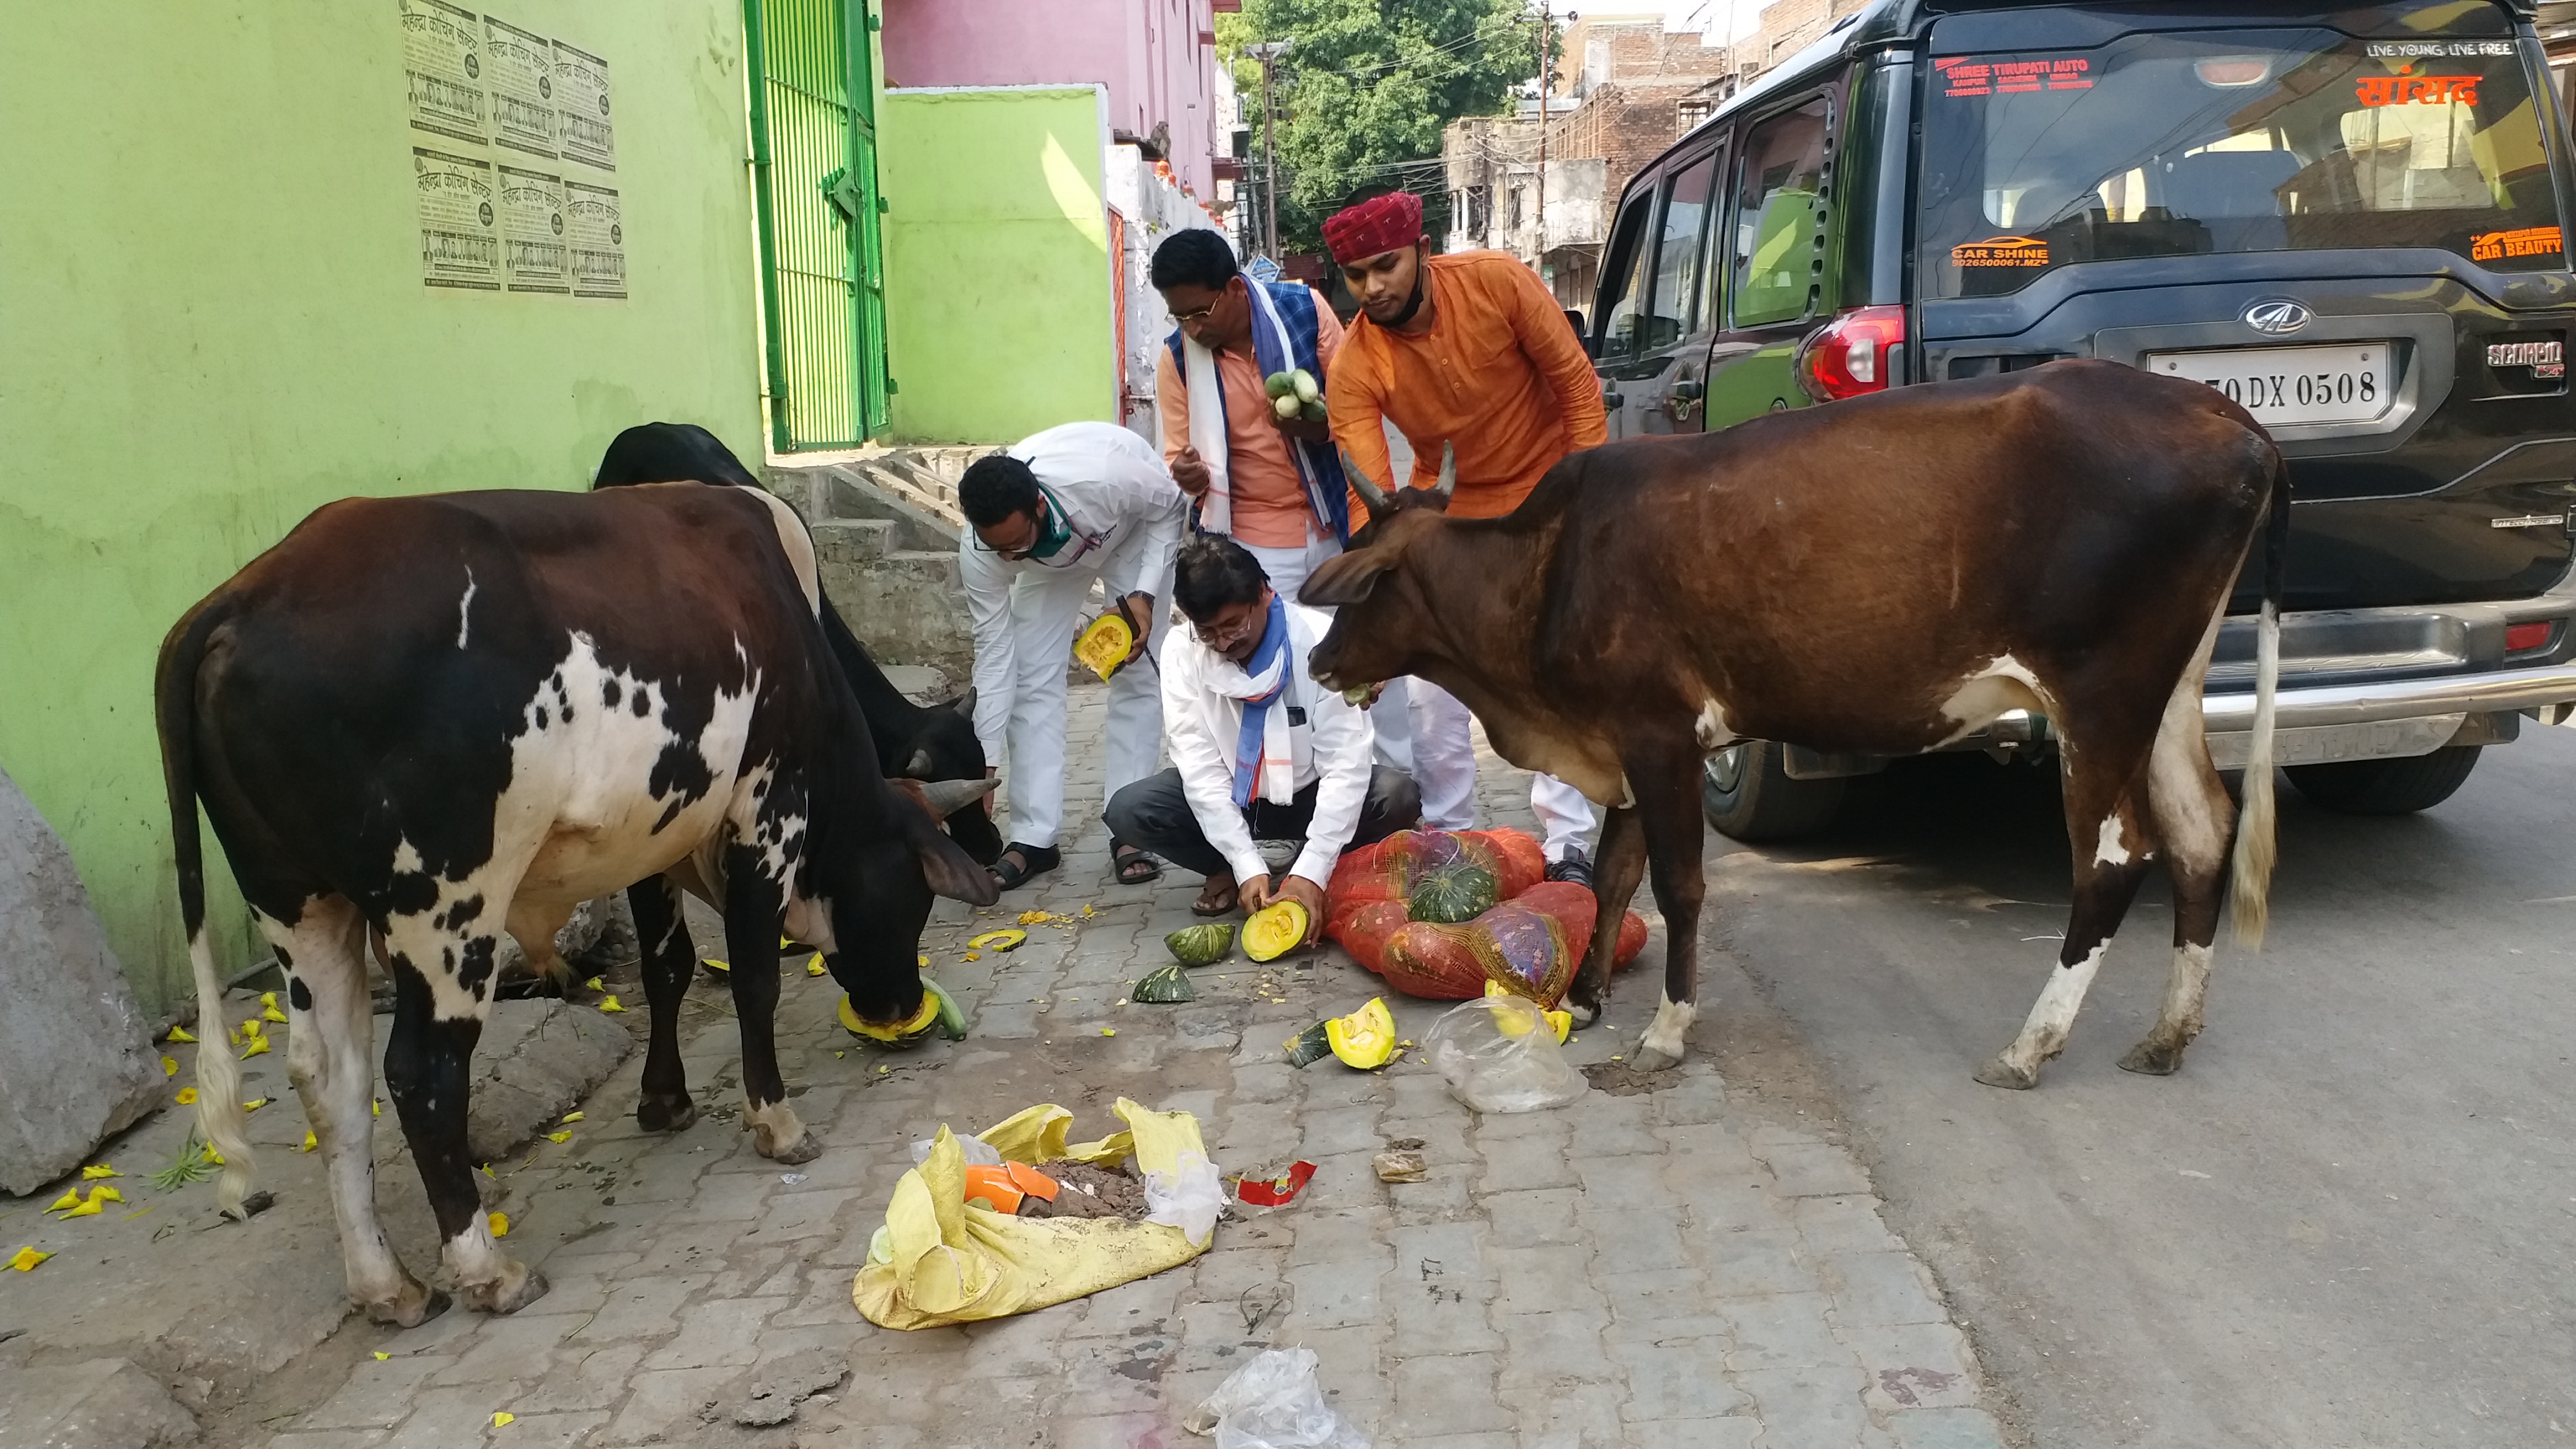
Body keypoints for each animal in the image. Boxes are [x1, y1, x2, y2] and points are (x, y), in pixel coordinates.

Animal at [1319, 358, 2287, 1083]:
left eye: (1361, 586)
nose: (1323, 660)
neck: (1547, 567)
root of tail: (2223, 414)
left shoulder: (1657, 734)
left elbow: (1676, 885)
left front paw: (1667, 1029)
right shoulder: (1624, 739)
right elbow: (1614, 874)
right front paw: (1586, 999)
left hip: (2101, 696)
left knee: (2116, 858)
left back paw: (2029, 1045)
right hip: (2170, 691)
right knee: (2203, 830)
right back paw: (2168, 1032)